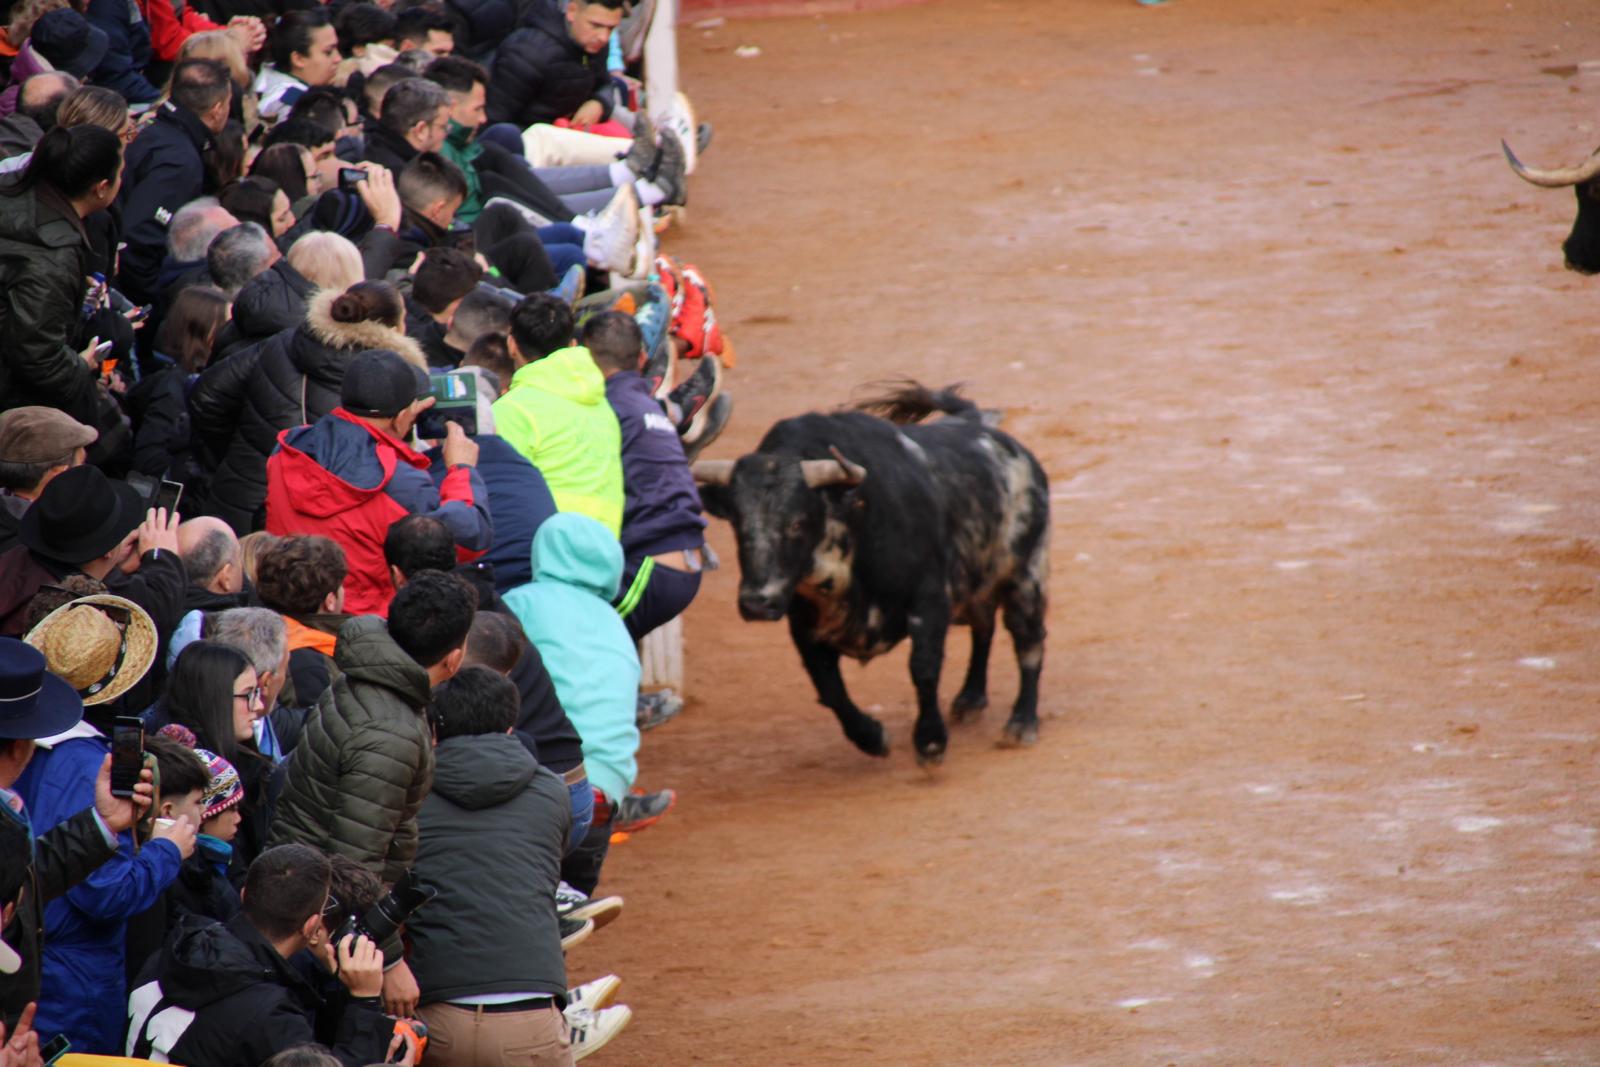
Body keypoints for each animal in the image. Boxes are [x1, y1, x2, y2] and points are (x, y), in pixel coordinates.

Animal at [691, 388, 1049, 764]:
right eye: (737, 523)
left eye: (798, 522)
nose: (758, 603)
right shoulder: (802, 625)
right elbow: (829, 688)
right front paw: (872, 737)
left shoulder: (929, 599)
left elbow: (923, 668)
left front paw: (930, 741)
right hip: (977, 586)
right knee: (984, 627)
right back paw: (970, 699)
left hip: (1027, 576)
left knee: (1028, 641)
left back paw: (1021, 723)